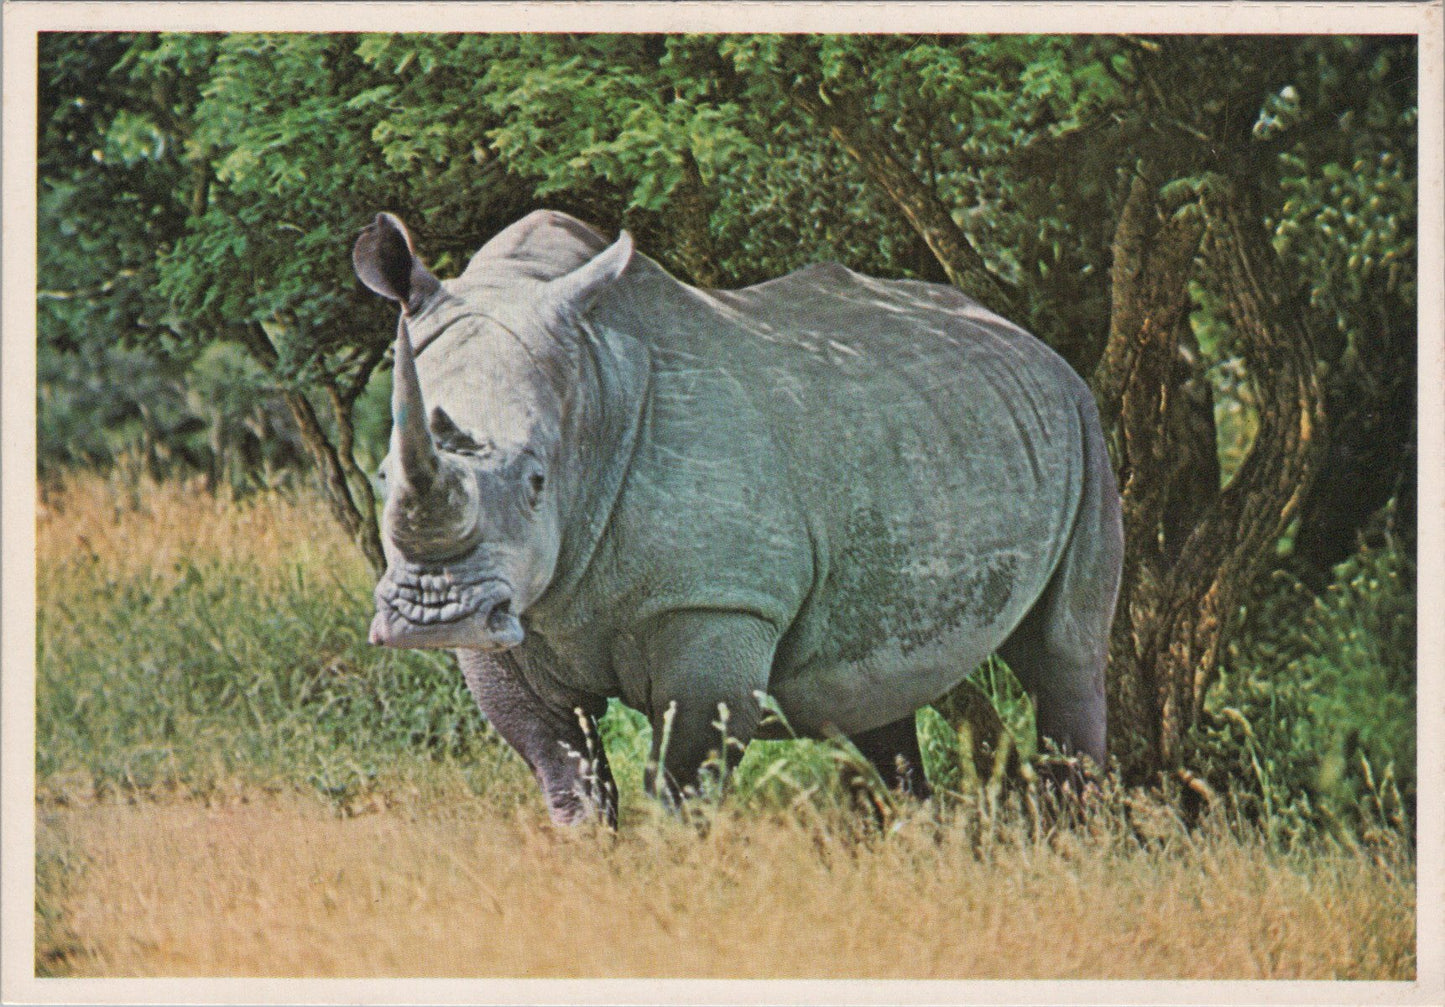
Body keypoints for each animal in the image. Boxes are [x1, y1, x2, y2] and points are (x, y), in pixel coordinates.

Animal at [353, 209, 1123, 826]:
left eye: (538, 480)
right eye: (384, 476)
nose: (432, 614)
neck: (590, 387)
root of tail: (1034, 343)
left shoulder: (716, 604)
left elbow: (683, 781)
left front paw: (679, 877)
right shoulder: (513, 619)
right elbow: (566, 771)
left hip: (1085, 427)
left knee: (1062, 653)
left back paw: (1072, 838)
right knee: (878, 687)